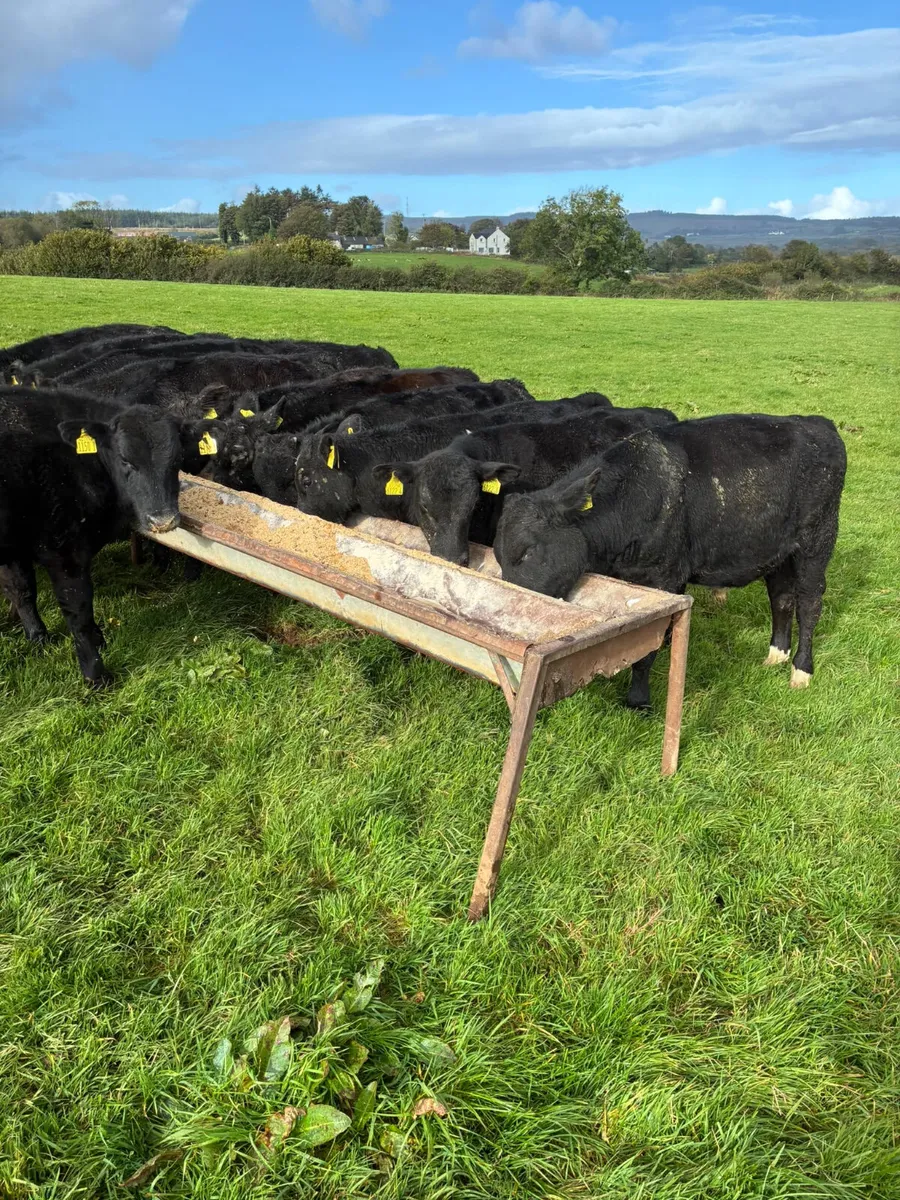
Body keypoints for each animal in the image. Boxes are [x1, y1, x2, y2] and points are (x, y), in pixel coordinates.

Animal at [0, 386, 185, 685]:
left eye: (178, 460)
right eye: (125, 460)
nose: (163, 520)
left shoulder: (15, 543)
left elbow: (22, 590)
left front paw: (39, 638)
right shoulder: (63, 551)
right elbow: (79, 612)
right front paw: (96, 675)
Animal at [494, 414, 846, 710]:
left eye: (527, 552)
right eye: (499, 557)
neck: (634, 495)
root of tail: (817, 423)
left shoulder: (664, 577)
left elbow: (647, 650)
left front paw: (638, 700)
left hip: (817, 542)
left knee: (809, 604)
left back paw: (801, 669)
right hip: (778, 552)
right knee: (782, 599)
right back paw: (776, 656)